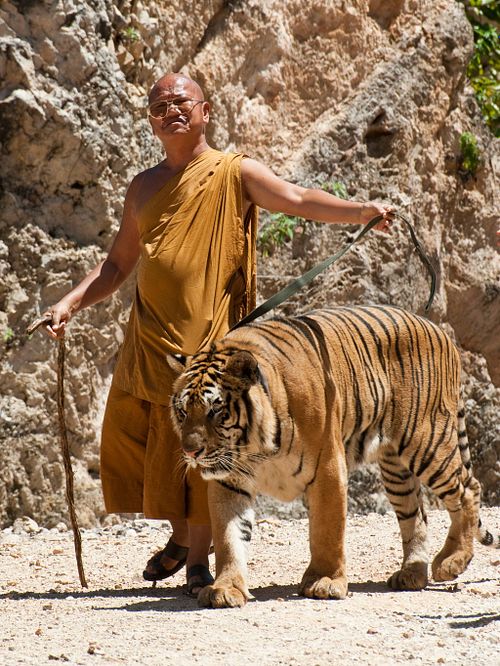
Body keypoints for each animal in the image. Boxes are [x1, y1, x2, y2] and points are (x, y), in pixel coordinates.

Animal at [167, 305, 497, 608]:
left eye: (216, 411)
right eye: (183, 411)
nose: (191, 451)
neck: (255, 446)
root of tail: (438, 329)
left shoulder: (326, 467)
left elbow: (327, 531)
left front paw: (325, 581)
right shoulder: (230, 481)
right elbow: (229, 536)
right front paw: (226, 588)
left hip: (426, 443)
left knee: (469, 489)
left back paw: (452, 560)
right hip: (396, 467)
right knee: (416, 514)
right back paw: (412, 574)